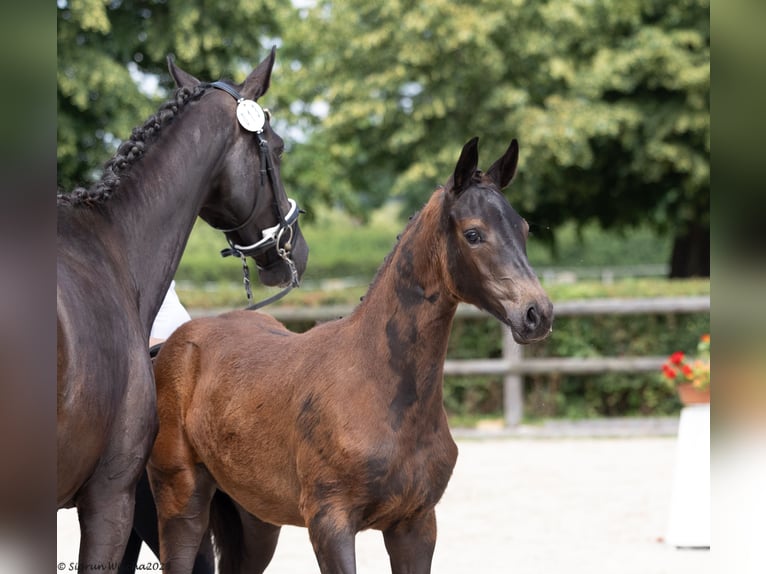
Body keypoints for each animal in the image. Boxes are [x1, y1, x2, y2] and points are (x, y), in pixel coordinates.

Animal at [148, 137, 552, 572]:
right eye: (474, 234)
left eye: (524, 229)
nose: (537, 314)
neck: (378, 387)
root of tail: (173, 344)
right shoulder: (330, 522)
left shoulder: (416, 524)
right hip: (182, 500)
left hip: (255, 519)